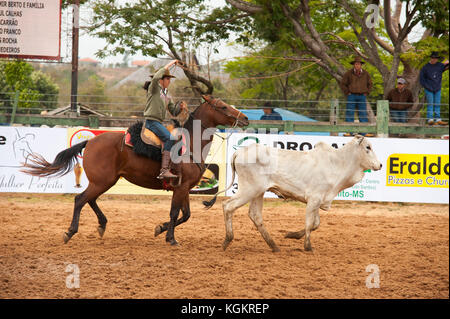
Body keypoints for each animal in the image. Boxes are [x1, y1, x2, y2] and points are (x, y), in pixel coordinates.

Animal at [22, 95, 250, 245]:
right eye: (222, 106)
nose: (245, 118)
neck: (190, 145)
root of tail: (91, 141)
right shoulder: (180, 188)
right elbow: (175, 212)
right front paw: (170, 238)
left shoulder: (184, 188)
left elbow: (185, 215)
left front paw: (160, 229)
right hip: (102, 181)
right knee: (80, 200)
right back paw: (70, 232)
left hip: (104, 181)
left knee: (90, 199)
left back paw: (102, 225)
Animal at [204, 135, 384, 252]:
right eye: (368, 147)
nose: (380, 165)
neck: (337, 163)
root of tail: (239, 152)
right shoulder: (314, 199)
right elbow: (310, 224)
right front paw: (307, 246)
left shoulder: (318, 201)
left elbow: (315, 224)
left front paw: (292, 235)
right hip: (249, 189)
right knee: (228, 206)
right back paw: (227, 241)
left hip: (258, 193)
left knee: (255, 215)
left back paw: (274, 246)